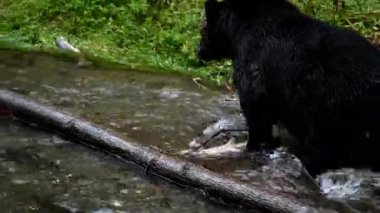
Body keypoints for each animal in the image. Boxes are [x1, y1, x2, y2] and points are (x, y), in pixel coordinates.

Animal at [197, 0, 380, 176]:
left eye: (202, 29)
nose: (198, 51)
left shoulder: (255, 68)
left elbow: (256, 111)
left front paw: (253, 146)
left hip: (330, 105)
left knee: (322, 145)